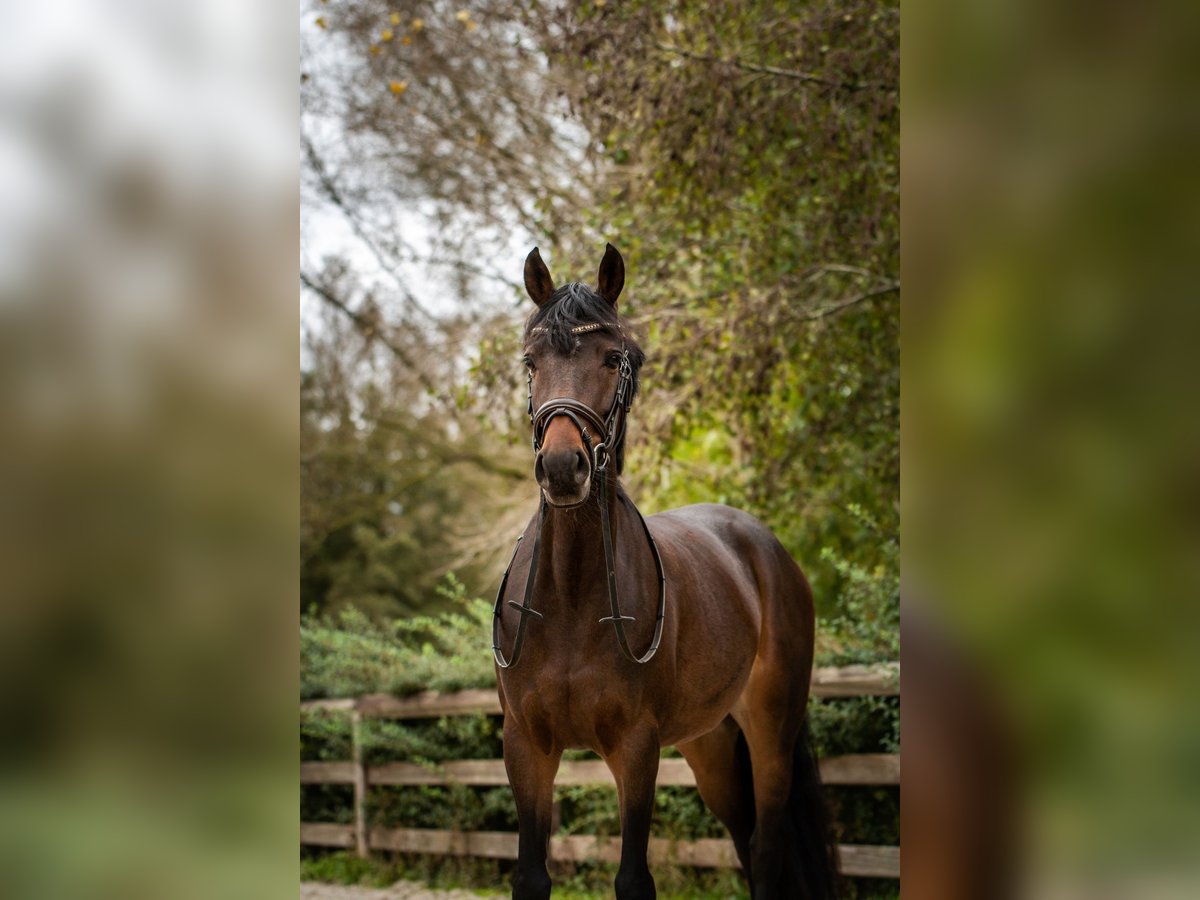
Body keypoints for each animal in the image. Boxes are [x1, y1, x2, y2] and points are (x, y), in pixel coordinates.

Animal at [492, 244, 840, 900]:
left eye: (614, 358)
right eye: (531, 361)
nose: (563, 468)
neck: (571, 598)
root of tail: (766, 548)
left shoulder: (637, 747)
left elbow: (633, 879)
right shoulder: (526, 745)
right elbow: (531, 876)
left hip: (770, 731)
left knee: (767, 846)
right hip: (711, 744)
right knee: (746, 841)